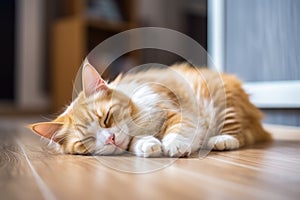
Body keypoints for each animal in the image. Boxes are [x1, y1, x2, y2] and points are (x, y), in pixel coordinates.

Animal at [29, 61, 270, 157]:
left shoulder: (177, 111)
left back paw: (221, 140)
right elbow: (138, 141)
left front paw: (174, 146)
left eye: (106, 118)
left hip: (224, 103)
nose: (110, 139)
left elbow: (179, 130)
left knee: (239, 133)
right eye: (86, 141)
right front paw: (148, 145)